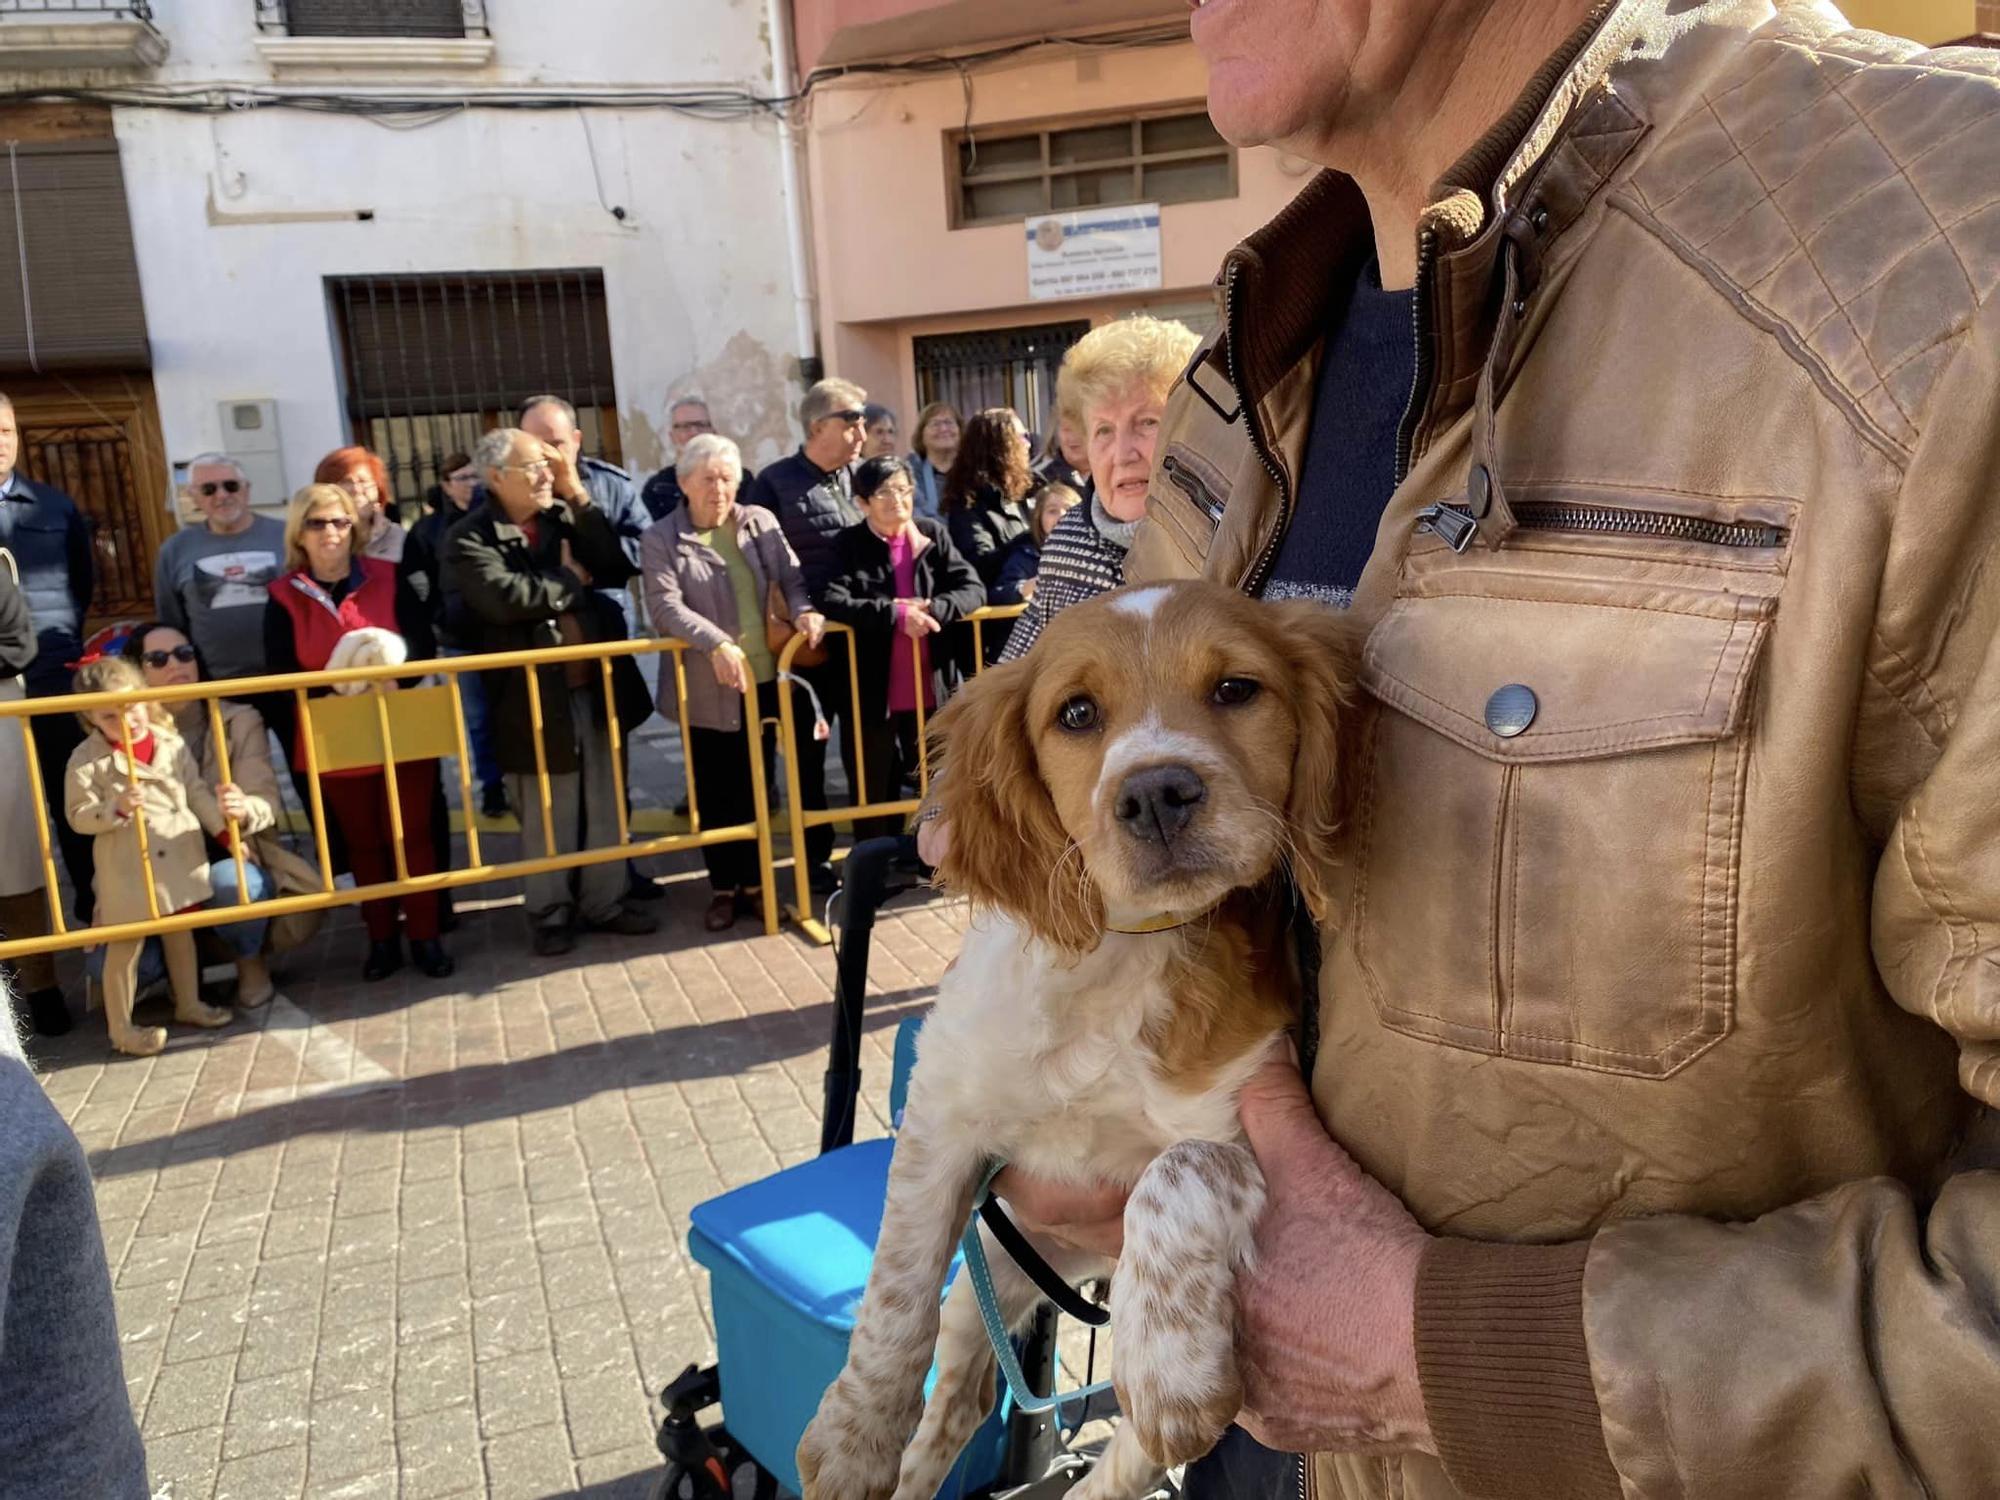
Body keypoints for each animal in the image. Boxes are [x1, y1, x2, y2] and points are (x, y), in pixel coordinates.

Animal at [796, 580, 1360, 1500]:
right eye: (1077, 713)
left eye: (1237, 690)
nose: (1157, 793)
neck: (1120, 953)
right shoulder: (943, 1110)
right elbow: (896, 1288)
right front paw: (852, 1439)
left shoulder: (1256, 1120)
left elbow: (1177, 1170)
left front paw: (1169, 1363)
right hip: (988, 1272)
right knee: (961, 1395)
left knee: (1131, 1452)